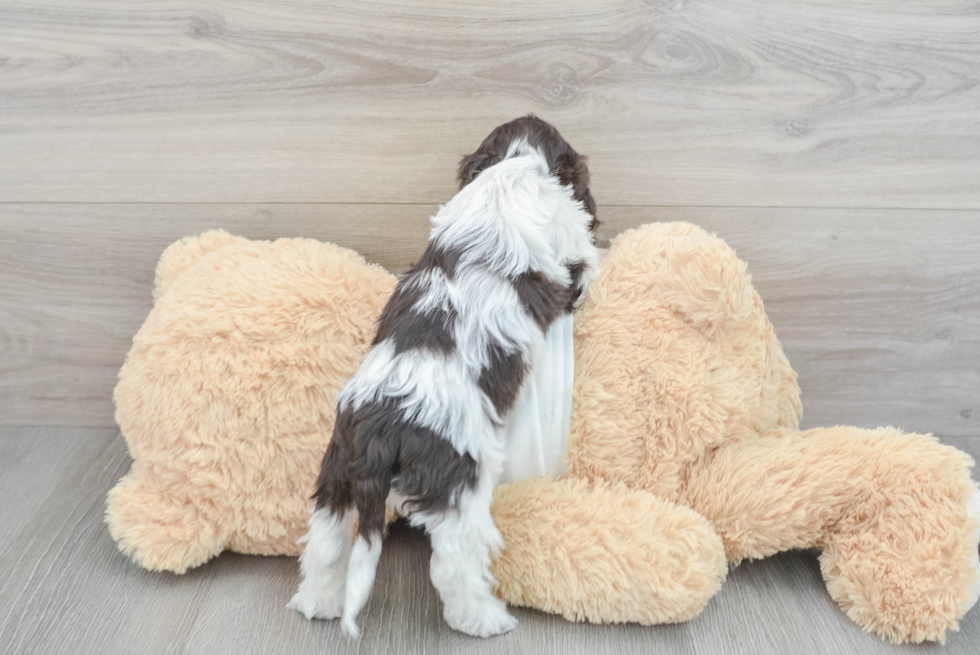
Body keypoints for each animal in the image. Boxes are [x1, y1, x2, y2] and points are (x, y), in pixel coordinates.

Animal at [288, 115, 600, 640]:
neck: (514, 165)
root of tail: (379, 433)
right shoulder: (570, 241)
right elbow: (586, 261)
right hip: (459, 486)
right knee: (453, 565)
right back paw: (484, 620)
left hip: (334, 475)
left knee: (326, 544)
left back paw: (319, 603)